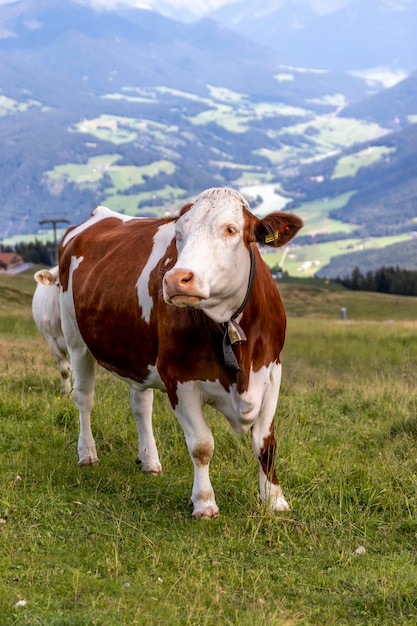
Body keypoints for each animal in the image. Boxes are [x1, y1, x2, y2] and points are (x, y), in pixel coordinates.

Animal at [58, 186, 300, 516]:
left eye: (231, 229)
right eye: (179, 234)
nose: (175, 279)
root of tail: (99, 215)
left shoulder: (272, 370)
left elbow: (265, 442)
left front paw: (274, 499)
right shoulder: (178, 378)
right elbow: (201, 445)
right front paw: (204, 502)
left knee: (141, 405)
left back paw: (149, 460)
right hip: (75, 337)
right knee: (83, 398)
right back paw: (87, 453)